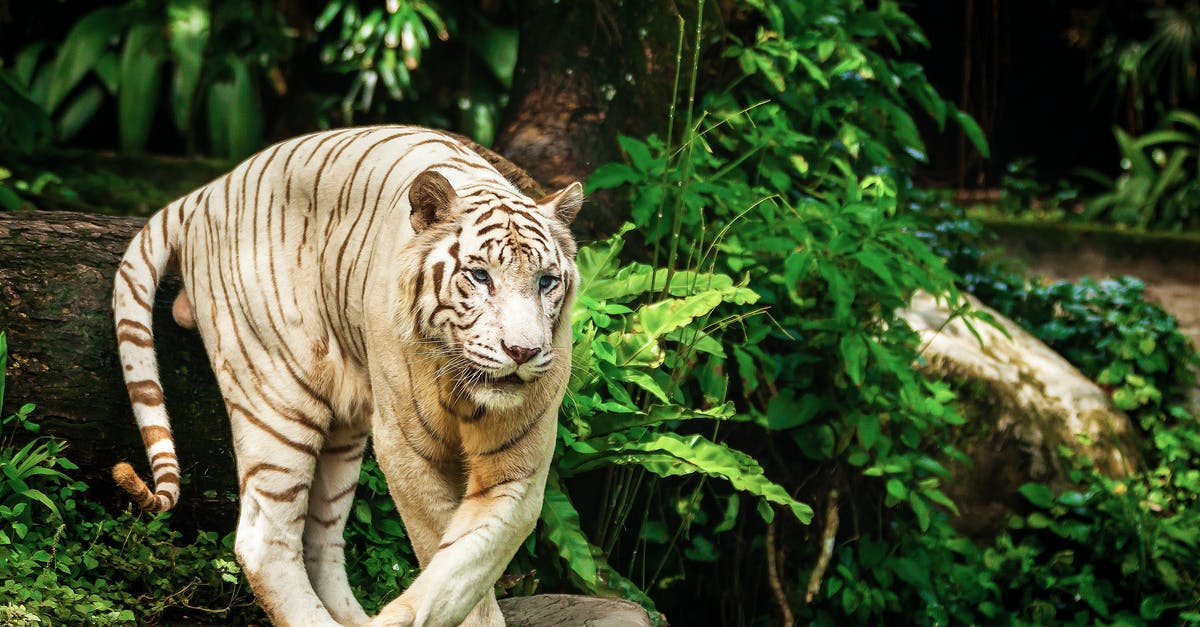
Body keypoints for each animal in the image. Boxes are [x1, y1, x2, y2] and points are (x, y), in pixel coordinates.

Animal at [110, 124, 583, 619]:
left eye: (546, 282)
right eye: (479, 276)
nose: (523, 351)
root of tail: (208, 190)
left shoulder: (517, 469)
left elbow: (464, 568)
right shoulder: (408, 449)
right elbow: (445, 560)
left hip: (342, 433)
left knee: (320, 543)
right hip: (278, 398)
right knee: (264, 540)